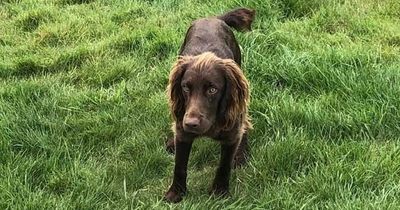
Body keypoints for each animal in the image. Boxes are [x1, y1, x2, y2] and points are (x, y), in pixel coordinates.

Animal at [163, 7, 255, 203]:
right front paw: (176, 193)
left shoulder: (230, 135)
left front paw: (220, 192)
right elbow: (179, 166)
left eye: (212, 90)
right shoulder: (183, 132)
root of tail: (214, 18)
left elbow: (224, 166)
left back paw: (241, 154)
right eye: (185, 88)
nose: (190, 123)